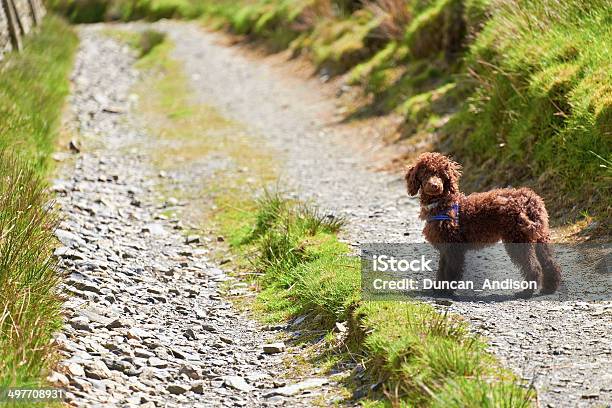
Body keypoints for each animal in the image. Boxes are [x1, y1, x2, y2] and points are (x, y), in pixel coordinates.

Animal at [404, 151, 560, 296]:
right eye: (425, 172)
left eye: (441, 174)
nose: (434, 186)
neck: (443, 203)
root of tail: (529, 198)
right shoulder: (445, 247)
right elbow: (442, 269)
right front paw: (438, 288)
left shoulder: (453, 247)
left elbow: (450, 270)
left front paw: (446, 291)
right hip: (540, 237)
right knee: (550, 263)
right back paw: (549, 288)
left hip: (518, 238)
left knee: (533, 267)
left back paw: (526, 292)